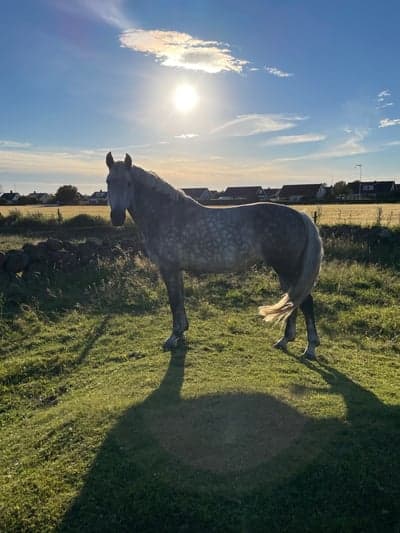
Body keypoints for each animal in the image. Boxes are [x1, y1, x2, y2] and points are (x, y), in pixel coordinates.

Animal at [105, 152, 322, 358]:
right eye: (108, 181)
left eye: (129, 183)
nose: (117, 218)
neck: (166, 214)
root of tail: (300, 215)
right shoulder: (177, 270)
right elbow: (180, 300)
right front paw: (182, 332)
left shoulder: (169, 268)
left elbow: (174, 302)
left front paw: (173, 337)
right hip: (285, 271)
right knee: (292, 300)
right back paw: (285, 340)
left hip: (286, 268)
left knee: (304, 302)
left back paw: (309, 349)